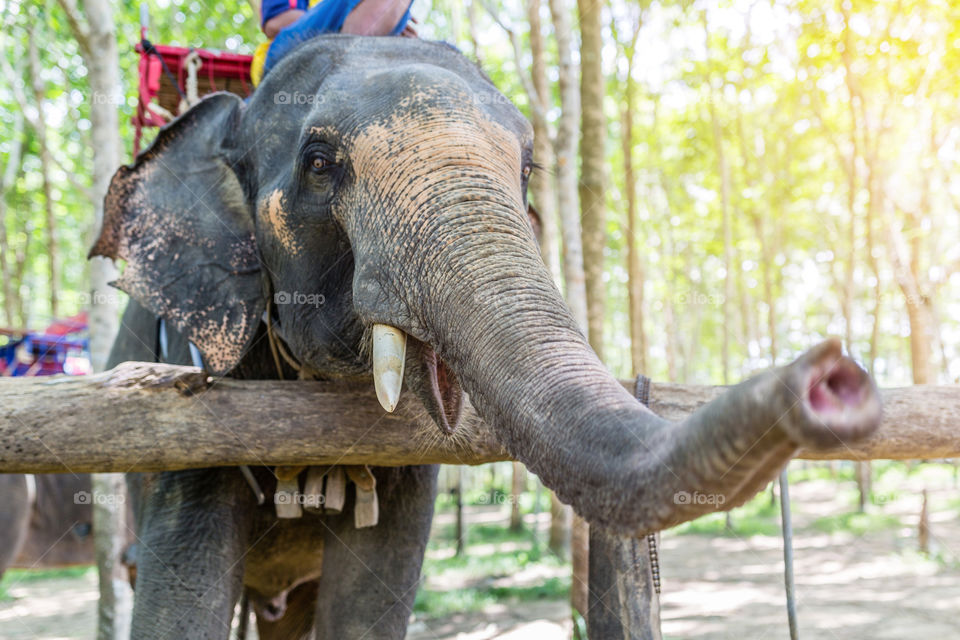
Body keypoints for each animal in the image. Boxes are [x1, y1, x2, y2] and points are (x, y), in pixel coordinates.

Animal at [94, 36, 880, 640]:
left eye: (527, 169)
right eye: (319, 162)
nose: (832, 376)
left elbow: (370, 599)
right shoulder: (188, 400)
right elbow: (180, 593)